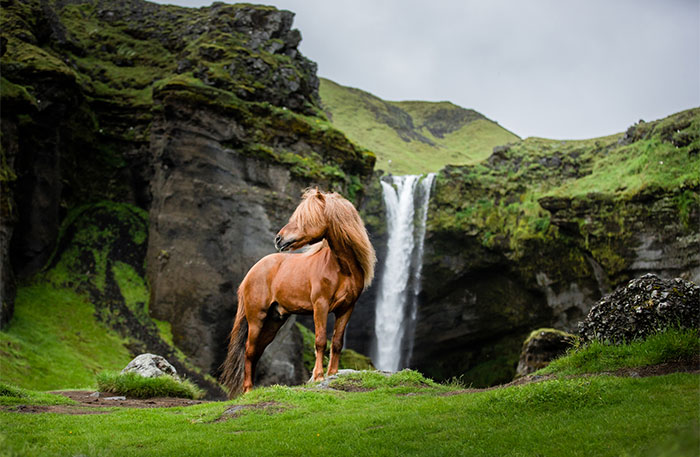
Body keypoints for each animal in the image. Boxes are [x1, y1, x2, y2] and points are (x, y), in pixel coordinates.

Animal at [220, 188, 376, 397]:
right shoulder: (320, 305)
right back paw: (248, 390)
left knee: (257, 351)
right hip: (256, 318)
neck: (342, 269)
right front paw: (318, 377)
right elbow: (320, 341)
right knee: (249, 351)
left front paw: (332, 374)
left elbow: (336, 342)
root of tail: (252, 272)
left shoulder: (347, 309)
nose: (278, 239)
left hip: (273, 321)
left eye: (305, 218)